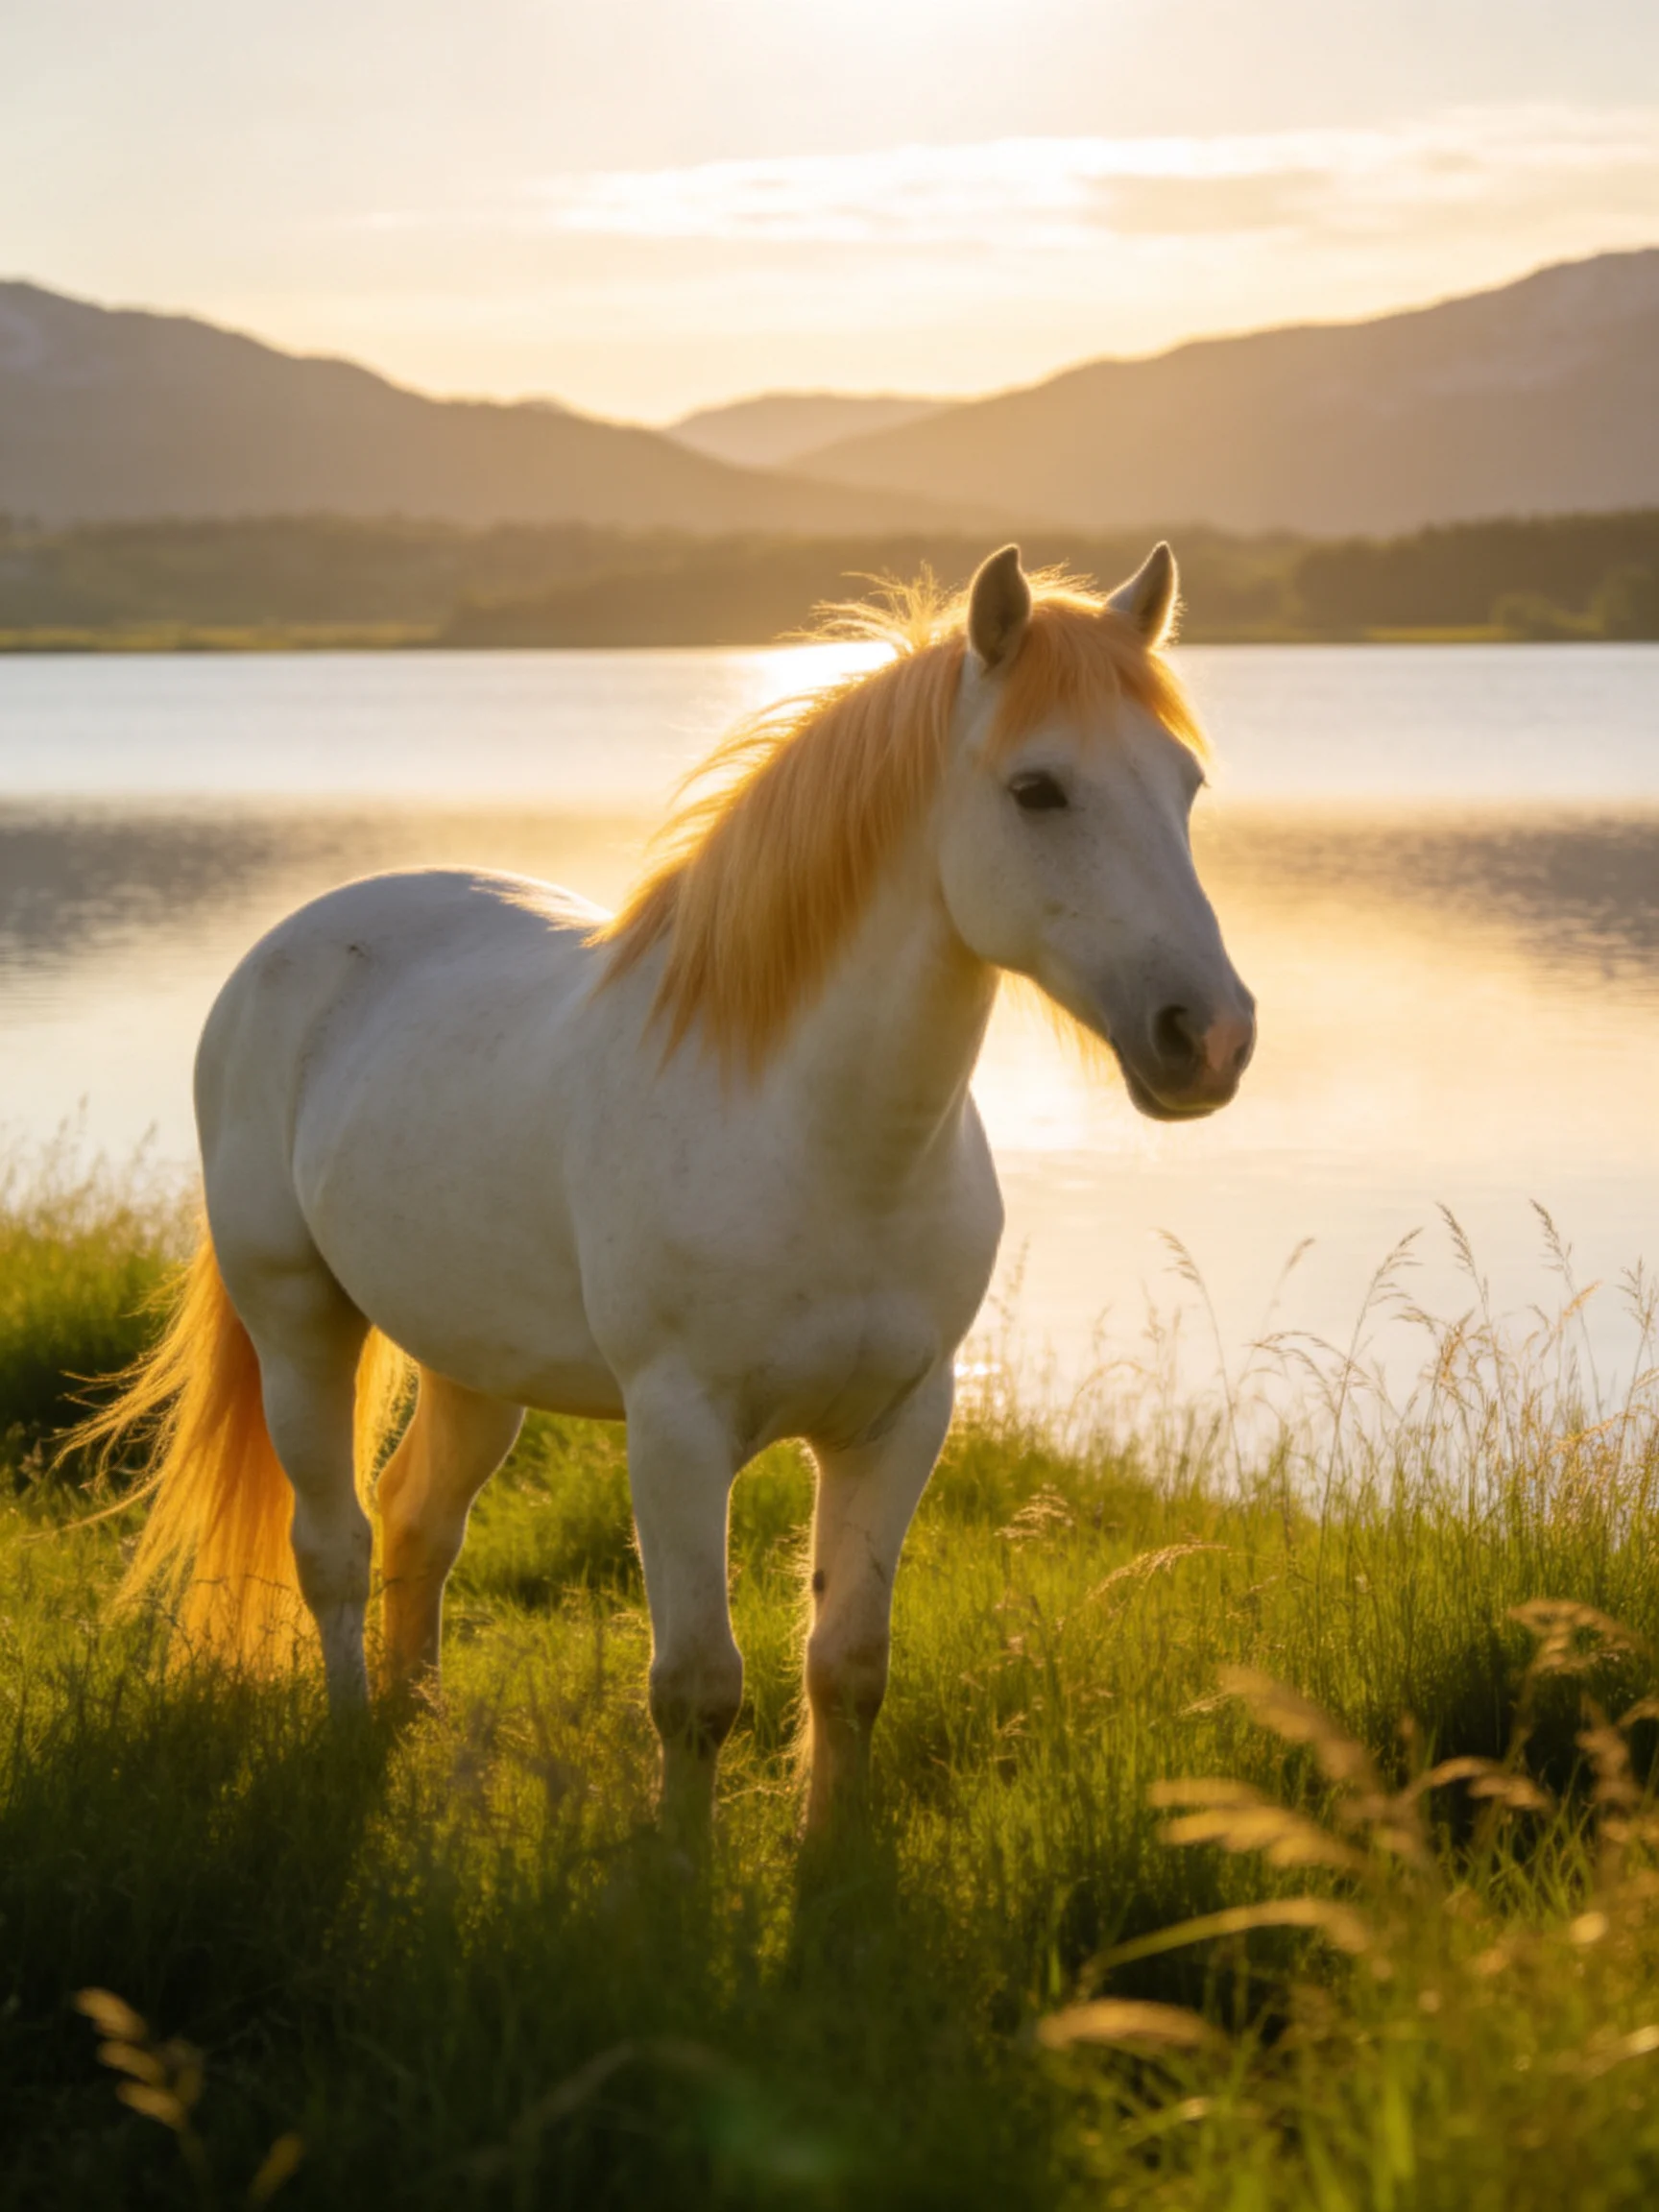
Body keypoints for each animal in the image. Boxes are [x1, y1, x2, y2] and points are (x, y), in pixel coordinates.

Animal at [85, 542, 1254, 1837]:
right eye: (1038, 789)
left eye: (1186, 786)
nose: (1209, 1037)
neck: (823, 1145)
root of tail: (287, 946)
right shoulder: (678, 1431)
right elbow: (697, 1689)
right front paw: (677, 1879)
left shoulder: (900, 1422)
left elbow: (847, 1670)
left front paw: (831, 1862)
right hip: (297, 1323)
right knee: (333, 1544)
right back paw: (348, 1744)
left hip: (472, 1360)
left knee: (417, 1525)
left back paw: (412, 1728)